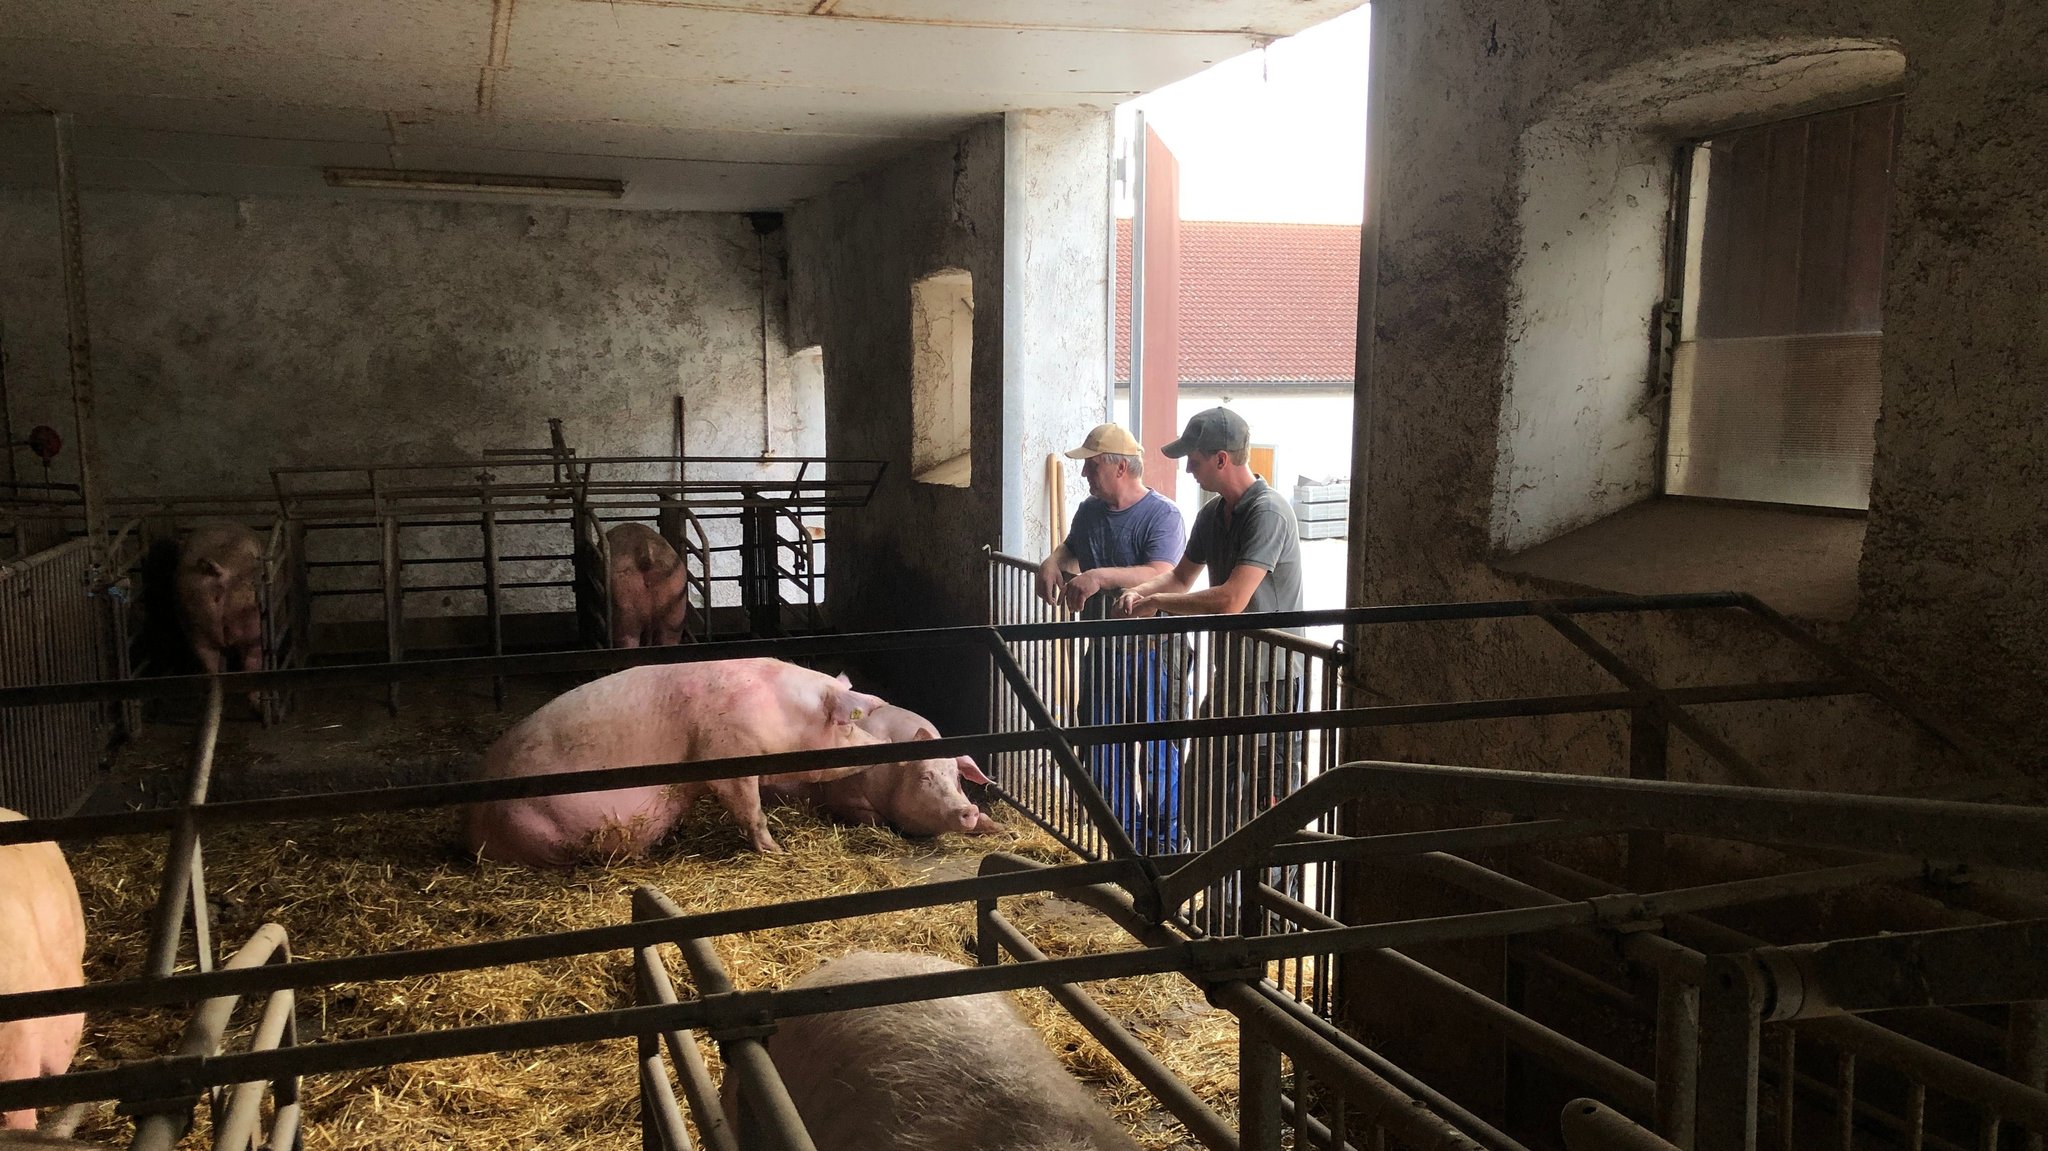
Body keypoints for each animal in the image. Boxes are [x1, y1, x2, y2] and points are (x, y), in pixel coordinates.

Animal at [475, 655, 901, 860]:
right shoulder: (729, 756)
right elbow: (751, 811)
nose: (882, 746)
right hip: (537, 830)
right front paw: (777, 852)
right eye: (847, 724)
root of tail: (472, 825)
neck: (782, 715)